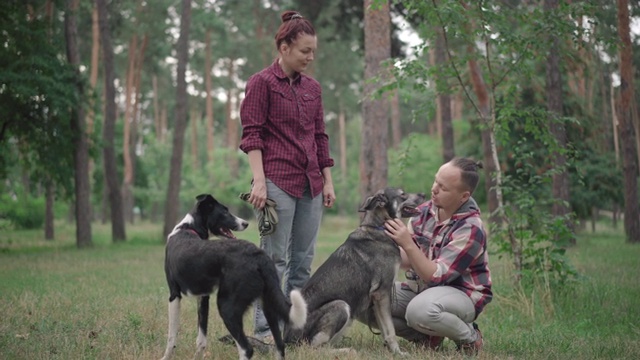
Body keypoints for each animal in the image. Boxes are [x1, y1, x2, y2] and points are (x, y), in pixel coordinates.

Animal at [161, 194, 308, 360]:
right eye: (225, 212)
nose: (245, 223)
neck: (188, 228)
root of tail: (258, 255)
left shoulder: (174, 295)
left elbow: (171, 337)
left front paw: (165, 357)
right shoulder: (203, 297)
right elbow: (201, 340)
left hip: (227, 308)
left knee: (246, 349)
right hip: (269, 306)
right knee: (279, 345)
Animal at [284, 188, 424, 354]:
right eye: (402, 194)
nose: (424, 194)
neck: (379, 227)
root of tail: (286, 340)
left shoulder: (377, 299)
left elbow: (385, 329)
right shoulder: (382, 293)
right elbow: (390, 330)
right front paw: (398, 353)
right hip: (341, 306)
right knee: (315, 347)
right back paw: (346, 350)